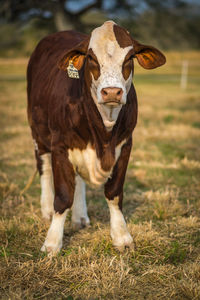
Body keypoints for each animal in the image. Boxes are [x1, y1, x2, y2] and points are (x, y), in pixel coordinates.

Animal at [26, 19, 166, 254]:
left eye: (129, 58)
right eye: (91, 58)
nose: (111, 92)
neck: (103, 134)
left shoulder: (125, 145)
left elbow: (114, 193)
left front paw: (122, 237)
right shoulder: (60, 145)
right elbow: (63, 196)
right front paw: (52, 243)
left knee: (77, 179)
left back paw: (80, 217)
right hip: (38, 130)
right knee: (43, 167)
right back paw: (46, 210)